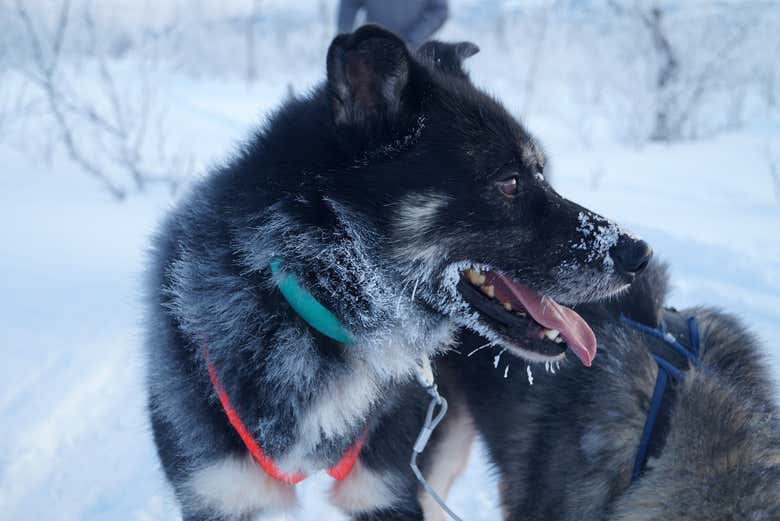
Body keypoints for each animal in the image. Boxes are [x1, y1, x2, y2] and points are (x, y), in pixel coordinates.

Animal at [143, 26, 648, 520]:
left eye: (542, 172)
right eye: (510, 181)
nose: (637, 253)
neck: (314, 308)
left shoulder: (387, 489)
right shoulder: (226, 492)